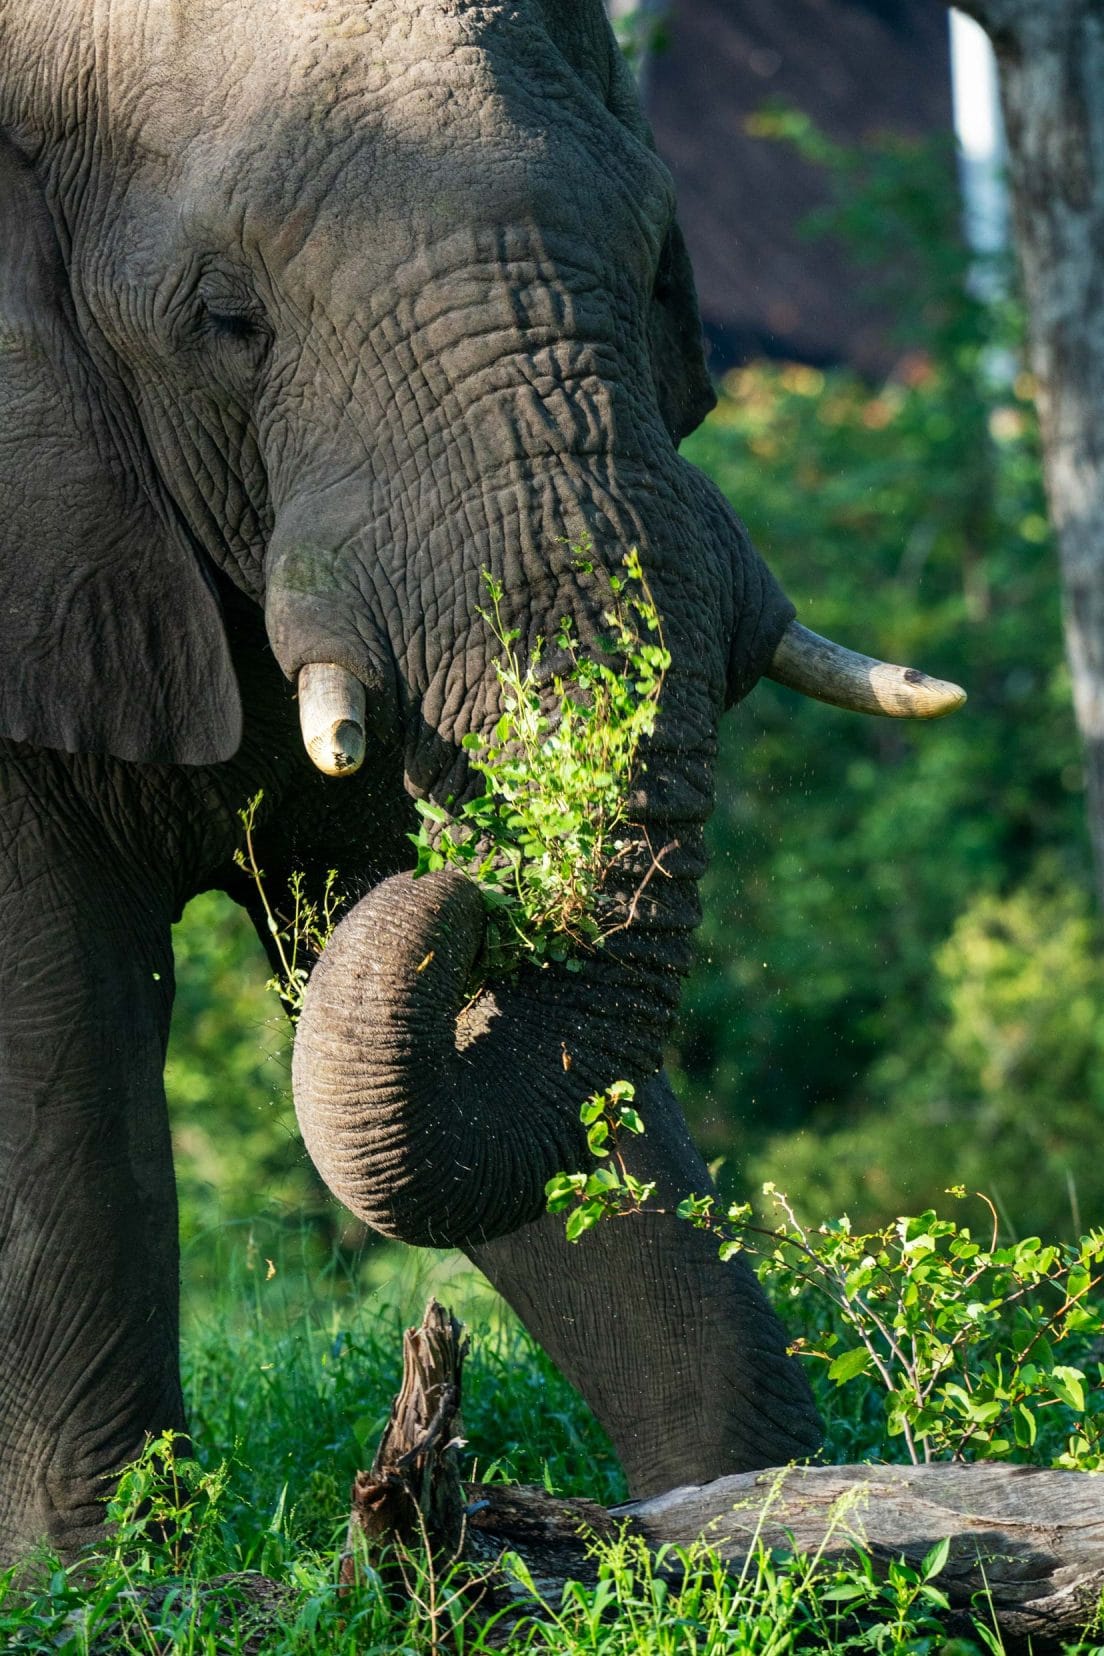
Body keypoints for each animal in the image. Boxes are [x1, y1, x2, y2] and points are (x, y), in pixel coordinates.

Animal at [0, 0, 966, 1563]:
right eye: (226, 321)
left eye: (657, 266)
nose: (477, 894)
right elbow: (51, 1053)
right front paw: (101, 1580)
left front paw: (751, 1526)